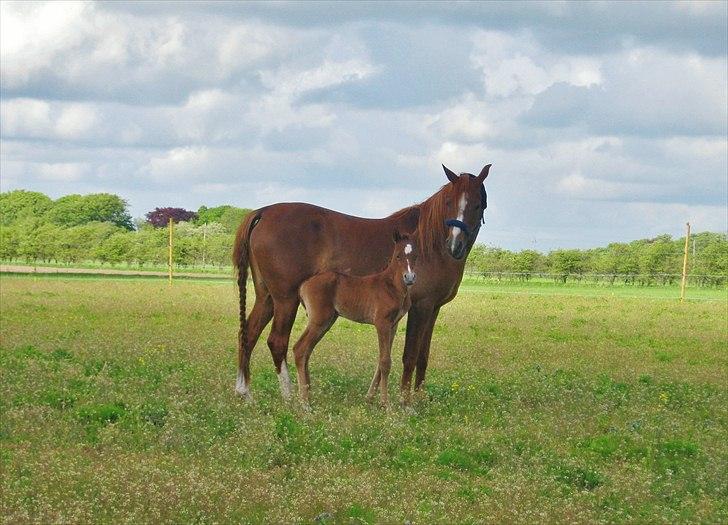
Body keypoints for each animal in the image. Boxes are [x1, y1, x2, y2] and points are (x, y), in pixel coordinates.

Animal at [290, 231, 416, 404]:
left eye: (415, 255)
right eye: (398, 256)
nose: (409, 277)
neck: (392, 286)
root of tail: (304, 284)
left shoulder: (393, 325)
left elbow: (382, 359)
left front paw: (370, 398)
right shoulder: (382, 323)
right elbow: (385, 362)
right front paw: (385, 403)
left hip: (327, 322)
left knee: (307, 351)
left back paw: (309, 395)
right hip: (319, 320)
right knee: (300, 349)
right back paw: (304, 402)